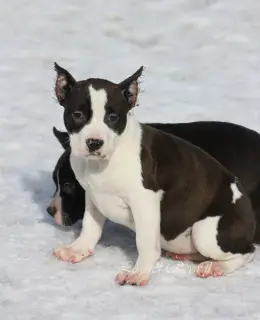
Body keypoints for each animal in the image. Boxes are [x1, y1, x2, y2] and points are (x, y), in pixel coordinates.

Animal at [51, 63, 255, 286]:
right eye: (78, 115)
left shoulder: (144, 200)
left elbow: (145, 242)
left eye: (113, 118)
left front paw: (138, 273)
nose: (94, 142)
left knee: (248, 252)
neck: (104, 162)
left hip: (206, 232)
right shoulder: (91, 195)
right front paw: (77, 250)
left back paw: (216, 266)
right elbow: (90, 226)